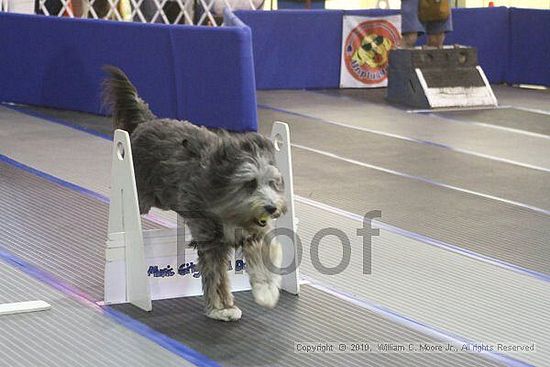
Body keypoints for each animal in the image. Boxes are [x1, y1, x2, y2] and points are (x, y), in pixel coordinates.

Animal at [102, 66, 288, 322]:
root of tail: (148, 121)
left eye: (273, 183)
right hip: (140, 195)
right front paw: (219, 308)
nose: (272, 208)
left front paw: (266, 290)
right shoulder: (209, 238)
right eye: (250, 183)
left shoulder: (250, 232)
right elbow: (215, 275)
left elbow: (264, 253)